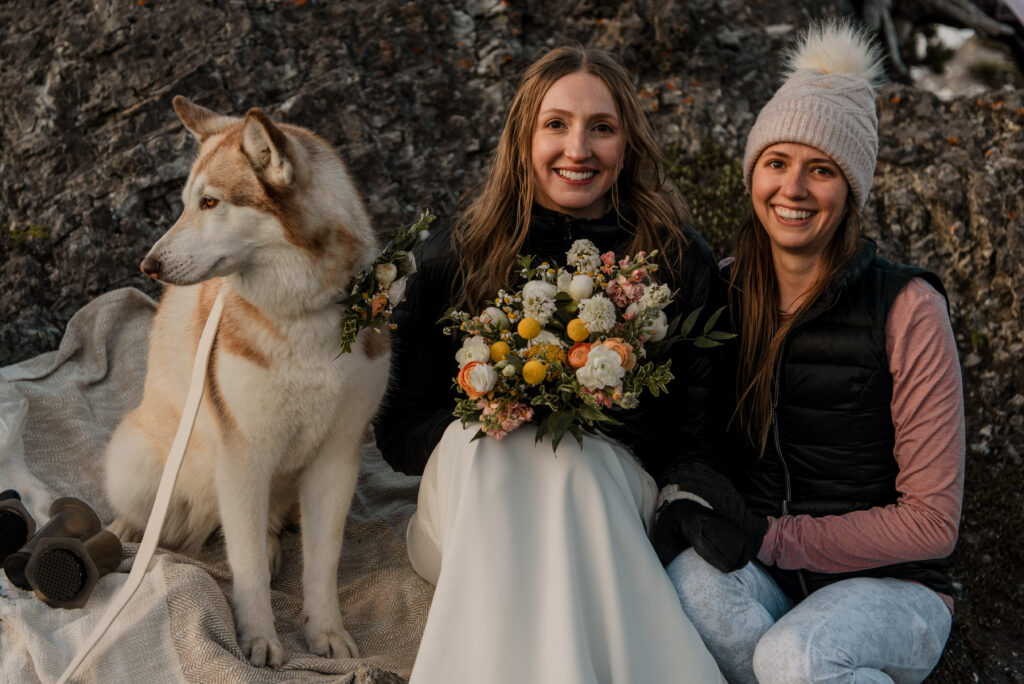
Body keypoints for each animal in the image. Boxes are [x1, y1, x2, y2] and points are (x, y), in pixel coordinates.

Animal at [104, 97, 387, 667]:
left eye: (210, 202)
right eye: (186, 204)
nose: (148, 264)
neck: (302, 317)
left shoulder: (338, 456)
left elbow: (322, 562)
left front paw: (325, 631)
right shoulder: (242, 457)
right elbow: (248, 566)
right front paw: (257, 639)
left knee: (270, 528)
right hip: (139, 462)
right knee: (149, 514)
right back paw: (122, 534)